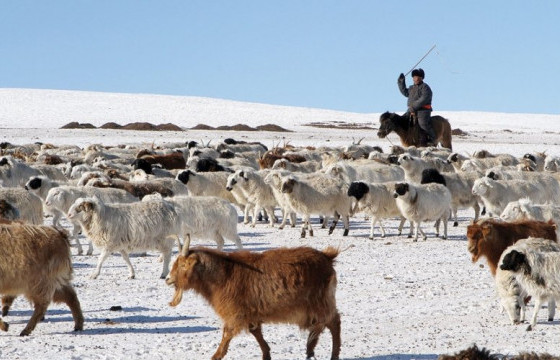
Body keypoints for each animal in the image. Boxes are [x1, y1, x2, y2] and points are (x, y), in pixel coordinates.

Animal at [166, 246, 342, 358]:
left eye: (183, 264)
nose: (167, 278)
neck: (224, 275)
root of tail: (327, 257)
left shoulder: (235, 314)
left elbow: (227, 335)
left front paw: (215, 356)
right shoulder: (250, 313)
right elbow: (255, 332)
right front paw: (267, 353)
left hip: (320, 303)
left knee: (333, 322)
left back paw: (322, 350)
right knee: (326, 324)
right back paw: (312, 346)